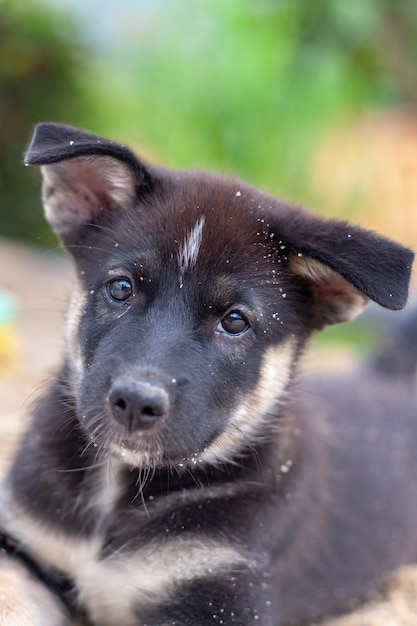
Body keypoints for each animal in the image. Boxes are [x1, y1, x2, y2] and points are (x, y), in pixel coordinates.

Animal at [0, 123, 416, 624]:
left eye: (235, 321)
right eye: (120, 288)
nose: (135, 402)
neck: (119, 490)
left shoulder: (221, 593)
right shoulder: (23, 538)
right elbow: (14, 590)